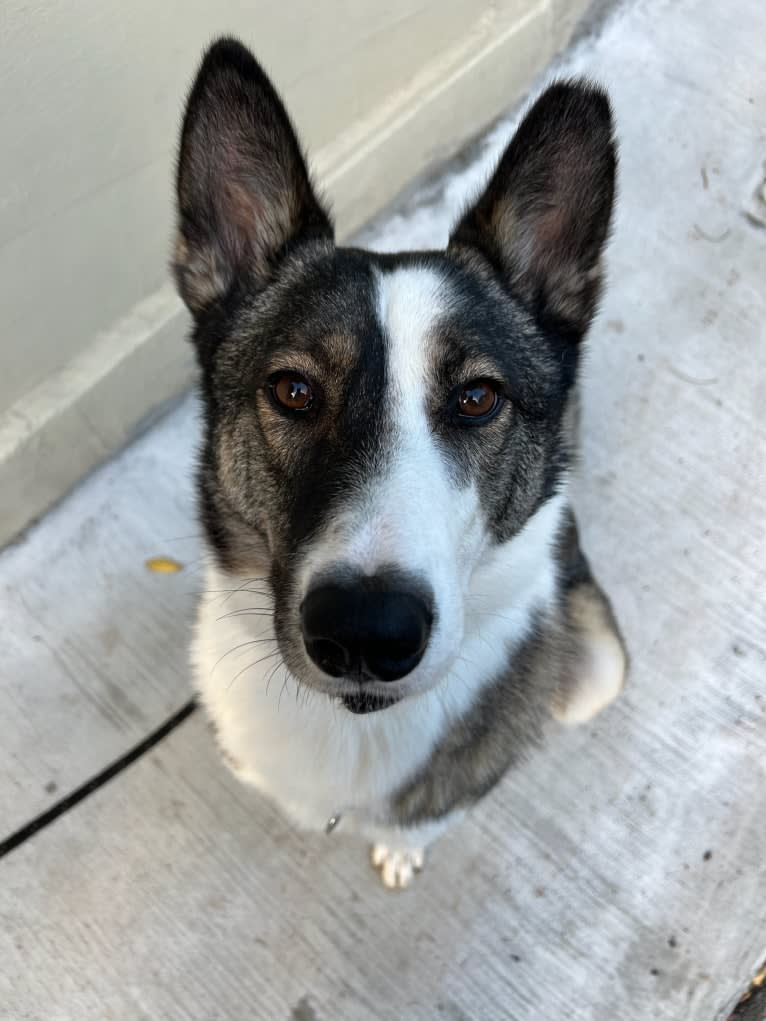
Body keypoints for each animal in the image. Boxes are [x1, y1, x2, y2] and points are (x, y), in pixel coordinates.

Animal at [173, 37, 629, 886]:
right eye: (292, 390)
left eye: (478, 398)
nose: (365, 632)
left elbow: (430, 815)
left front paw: (402, 847)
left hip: (599, 667)